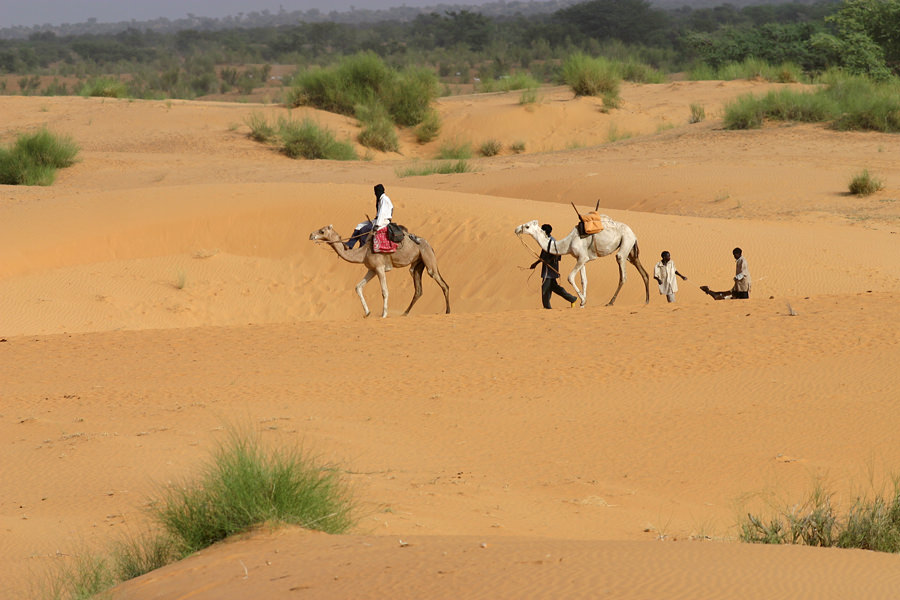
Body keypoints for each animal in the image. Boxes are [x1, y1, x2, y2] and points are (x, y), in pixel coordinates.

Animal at [310, 225, 450, 318]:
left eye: (322, 230)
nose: (311, 235)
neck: (363, 252)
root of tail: (429, 245)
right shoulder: (371, 269)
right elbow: (358, 287)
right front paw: (367, 313)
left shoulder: (380, 268)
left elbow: (384, 291)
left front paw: (383, 314)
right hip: (417, 263)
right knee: (418, 288)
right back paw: (405, 313)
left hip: (428, 257)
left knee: (442, 283)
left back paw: (448, 311)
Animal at [516, 217, 652, 308]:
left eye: (527, 226)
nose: (516, 229)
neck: (568, 243)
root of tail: (634, 233)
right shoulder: (581, 259)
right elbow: (584, 280)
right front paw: (583, 303)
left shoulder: (582, 257)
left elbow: (570, 277)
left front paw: (582, 301)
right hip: (631, 251)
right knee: (643, 272)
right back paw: (646, 301)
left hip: (626, 242)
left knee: (622, 271)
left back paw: (610, 302)